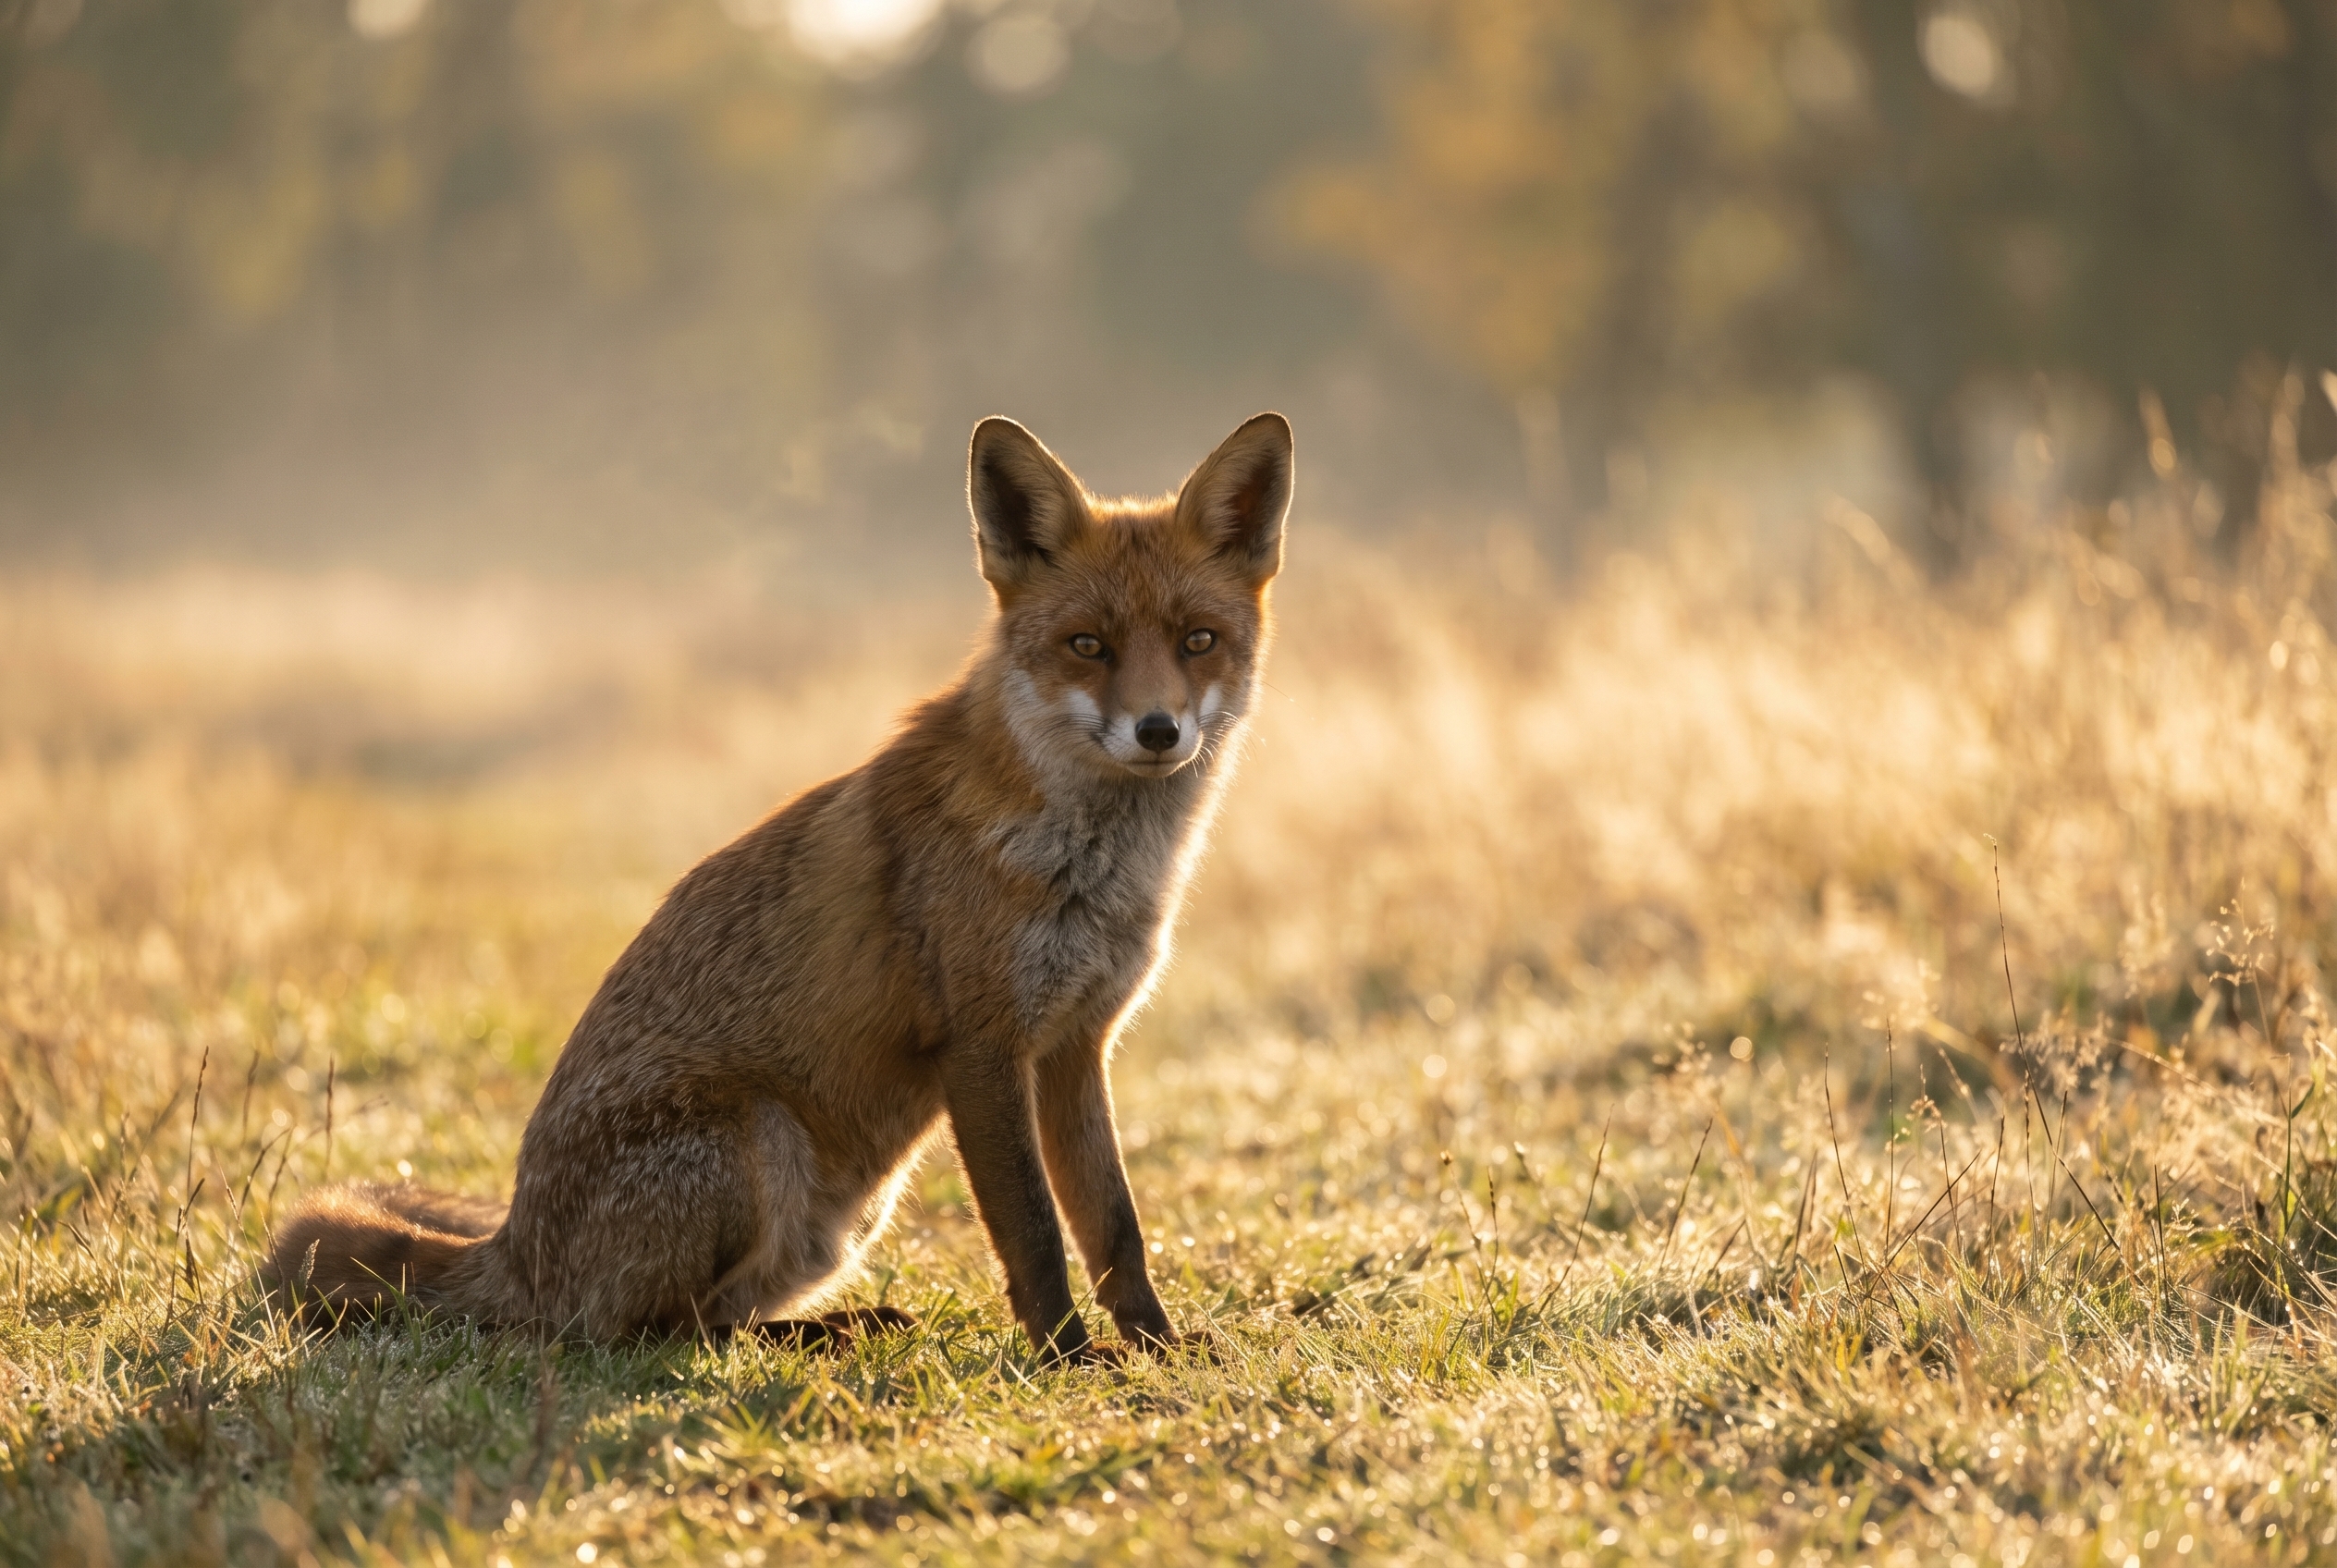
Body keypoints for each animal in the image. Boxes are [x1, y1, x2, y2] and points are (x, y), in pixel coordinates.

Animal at [262, 412, 1293, 1363]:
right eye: (1087, 645)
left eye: (1197, 640)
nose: (1157, 730)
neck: (1094, 867)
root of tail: (514, 1247)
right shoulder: (982, 1046)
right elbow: (1035, 1232)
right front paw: (1068, 1359)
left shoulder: (1078, 1045)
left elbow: (1114, 1225)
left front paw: (1157, 1347)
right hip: (758, 1137)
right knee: (643, 1333)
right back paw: (810, 1338)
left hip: (840, 1217)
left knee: (712, 1316)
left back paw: (833, 1327)